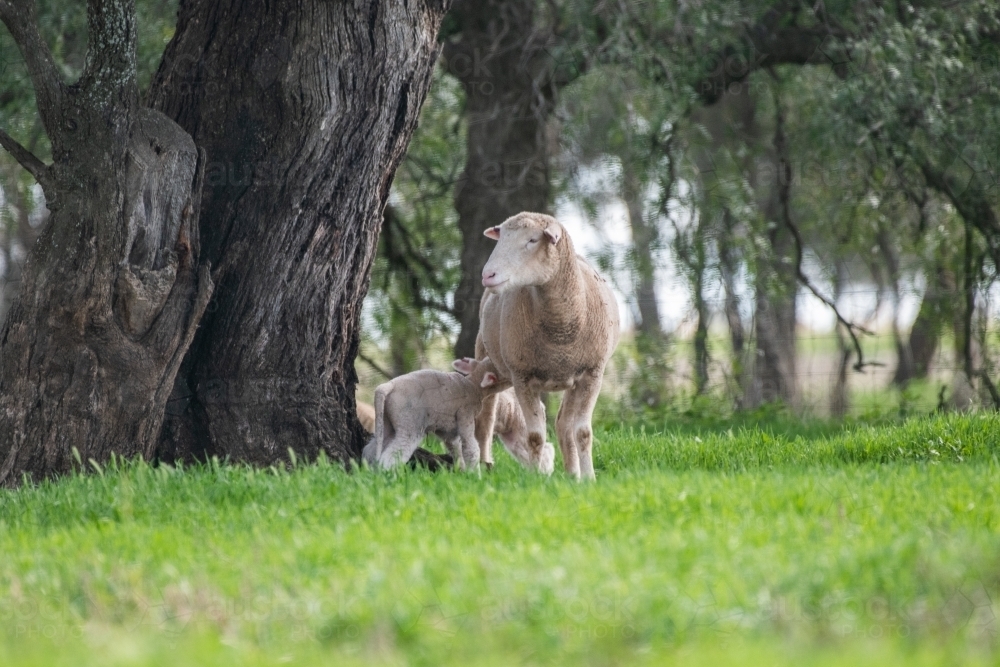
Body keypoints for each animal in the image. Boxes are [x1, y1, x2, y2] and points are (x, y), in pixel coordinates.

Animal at [360, 358, 504, 472]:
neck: (474, 386)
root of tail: (386, 387)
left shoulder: (448, 431)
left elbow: (455, 448)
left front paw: (462, 471)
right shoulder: (465, 413)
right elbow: (471, 449)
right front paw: (476, 476)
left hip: (387, 421)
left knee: (371, 450)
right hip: (409, 423)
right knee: (392, 456)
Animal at [474, 214, 616, 480]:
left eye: (532, 240)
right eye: (502, 238)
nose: (488, 275)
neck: (560, 333)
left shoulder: (593, 374)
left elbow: (582, 432)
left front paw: (589, 478)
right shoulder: (522, 377)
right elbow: (535, 436)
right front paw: (535, 478)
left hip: (571, 379)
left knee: (563, 424)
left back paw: (573, 475)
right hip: (487, 359)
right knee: (485, 420)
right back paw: (483, 465)